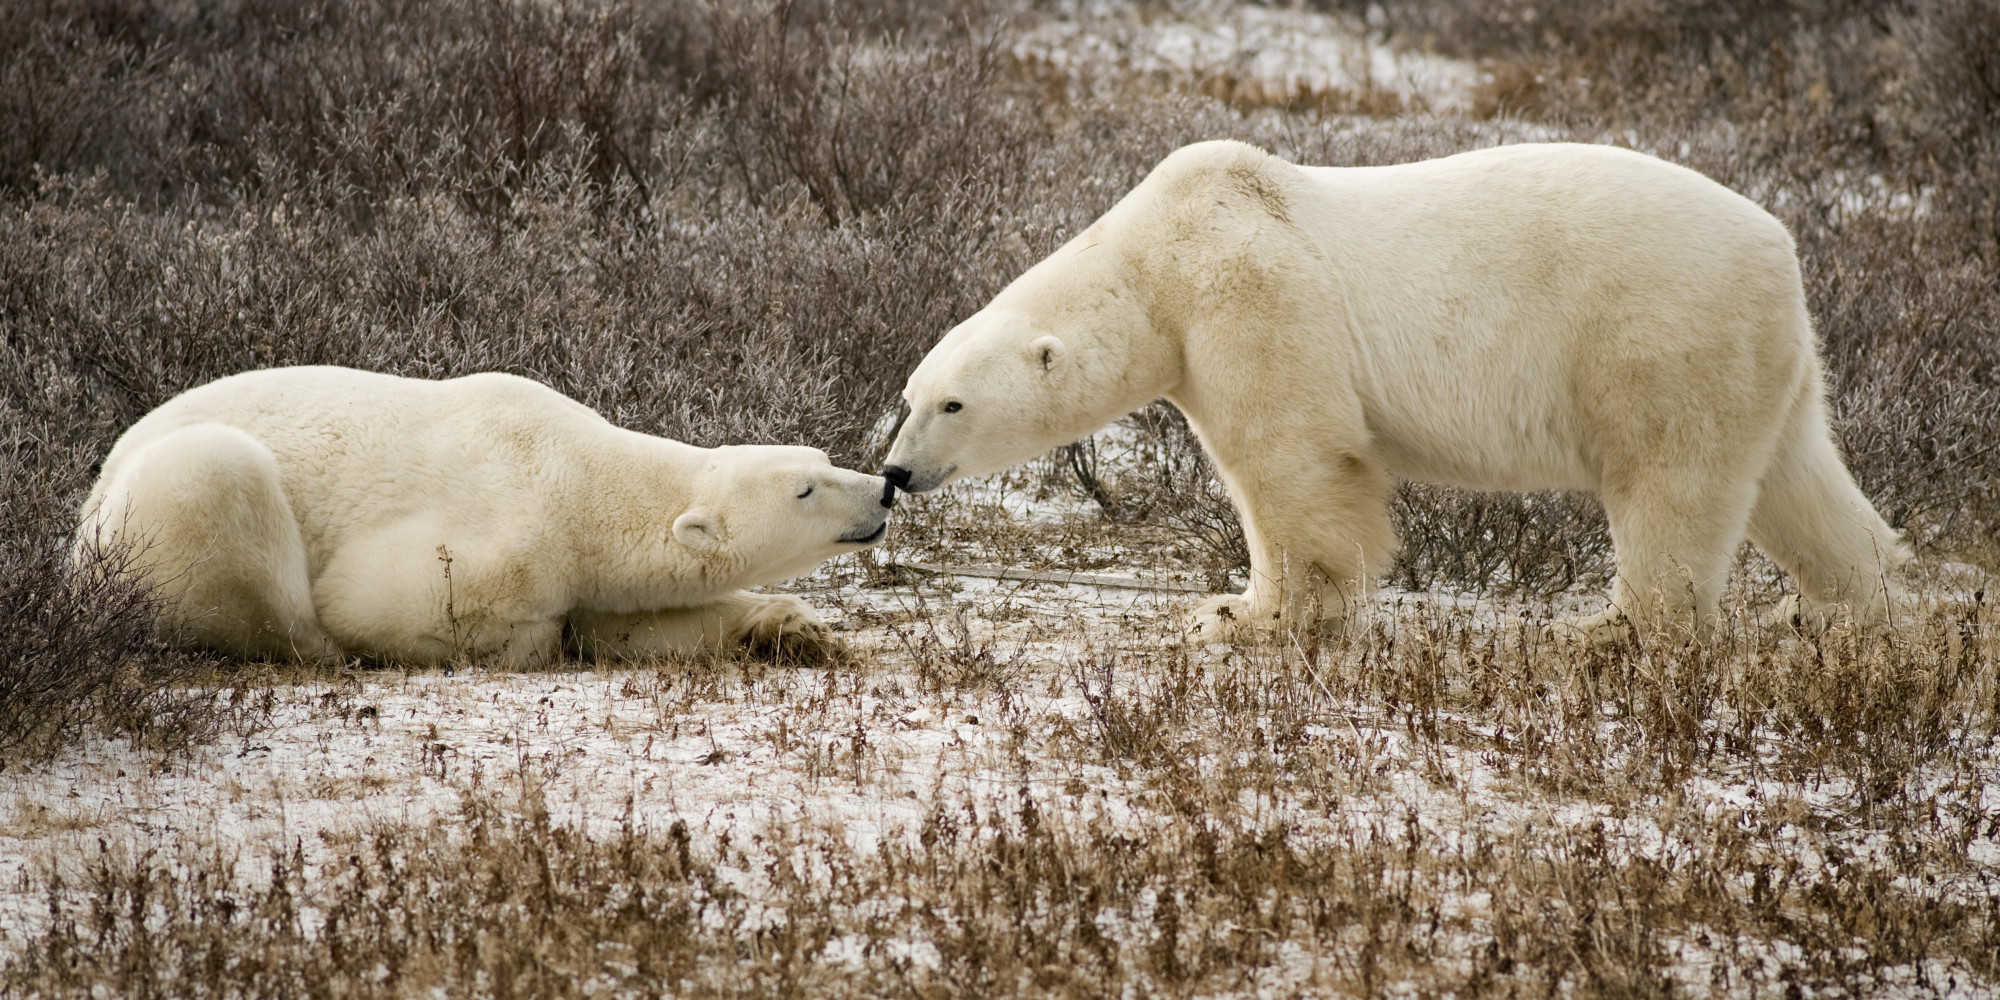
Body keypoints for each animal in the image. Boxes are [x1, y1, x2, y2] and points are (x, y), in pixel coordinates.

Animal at [78, 368, 892, 664]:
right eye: (805, 490)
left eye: (823, 457)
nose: (882, 488)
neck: (578, 472)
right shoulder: (508, 534)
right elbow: (375, 601)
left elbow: (637, 624)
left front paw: (794, 627)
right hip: (160, 511)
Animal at [888, 139, 1904, 640]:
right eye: (908, 396)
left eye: (952, 405)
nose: (896, 473)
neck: (1157, 256)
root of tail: (1780, 247)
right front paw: (1234, 606)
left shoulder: (1251, 293)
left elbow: (1292, 459)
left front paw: (1257, 615)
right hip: (1765, 357)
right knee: (1796, 480)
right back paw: (1844, 604)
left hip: (1661, 330)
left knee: (1671, 484)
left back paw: (1613, 629)